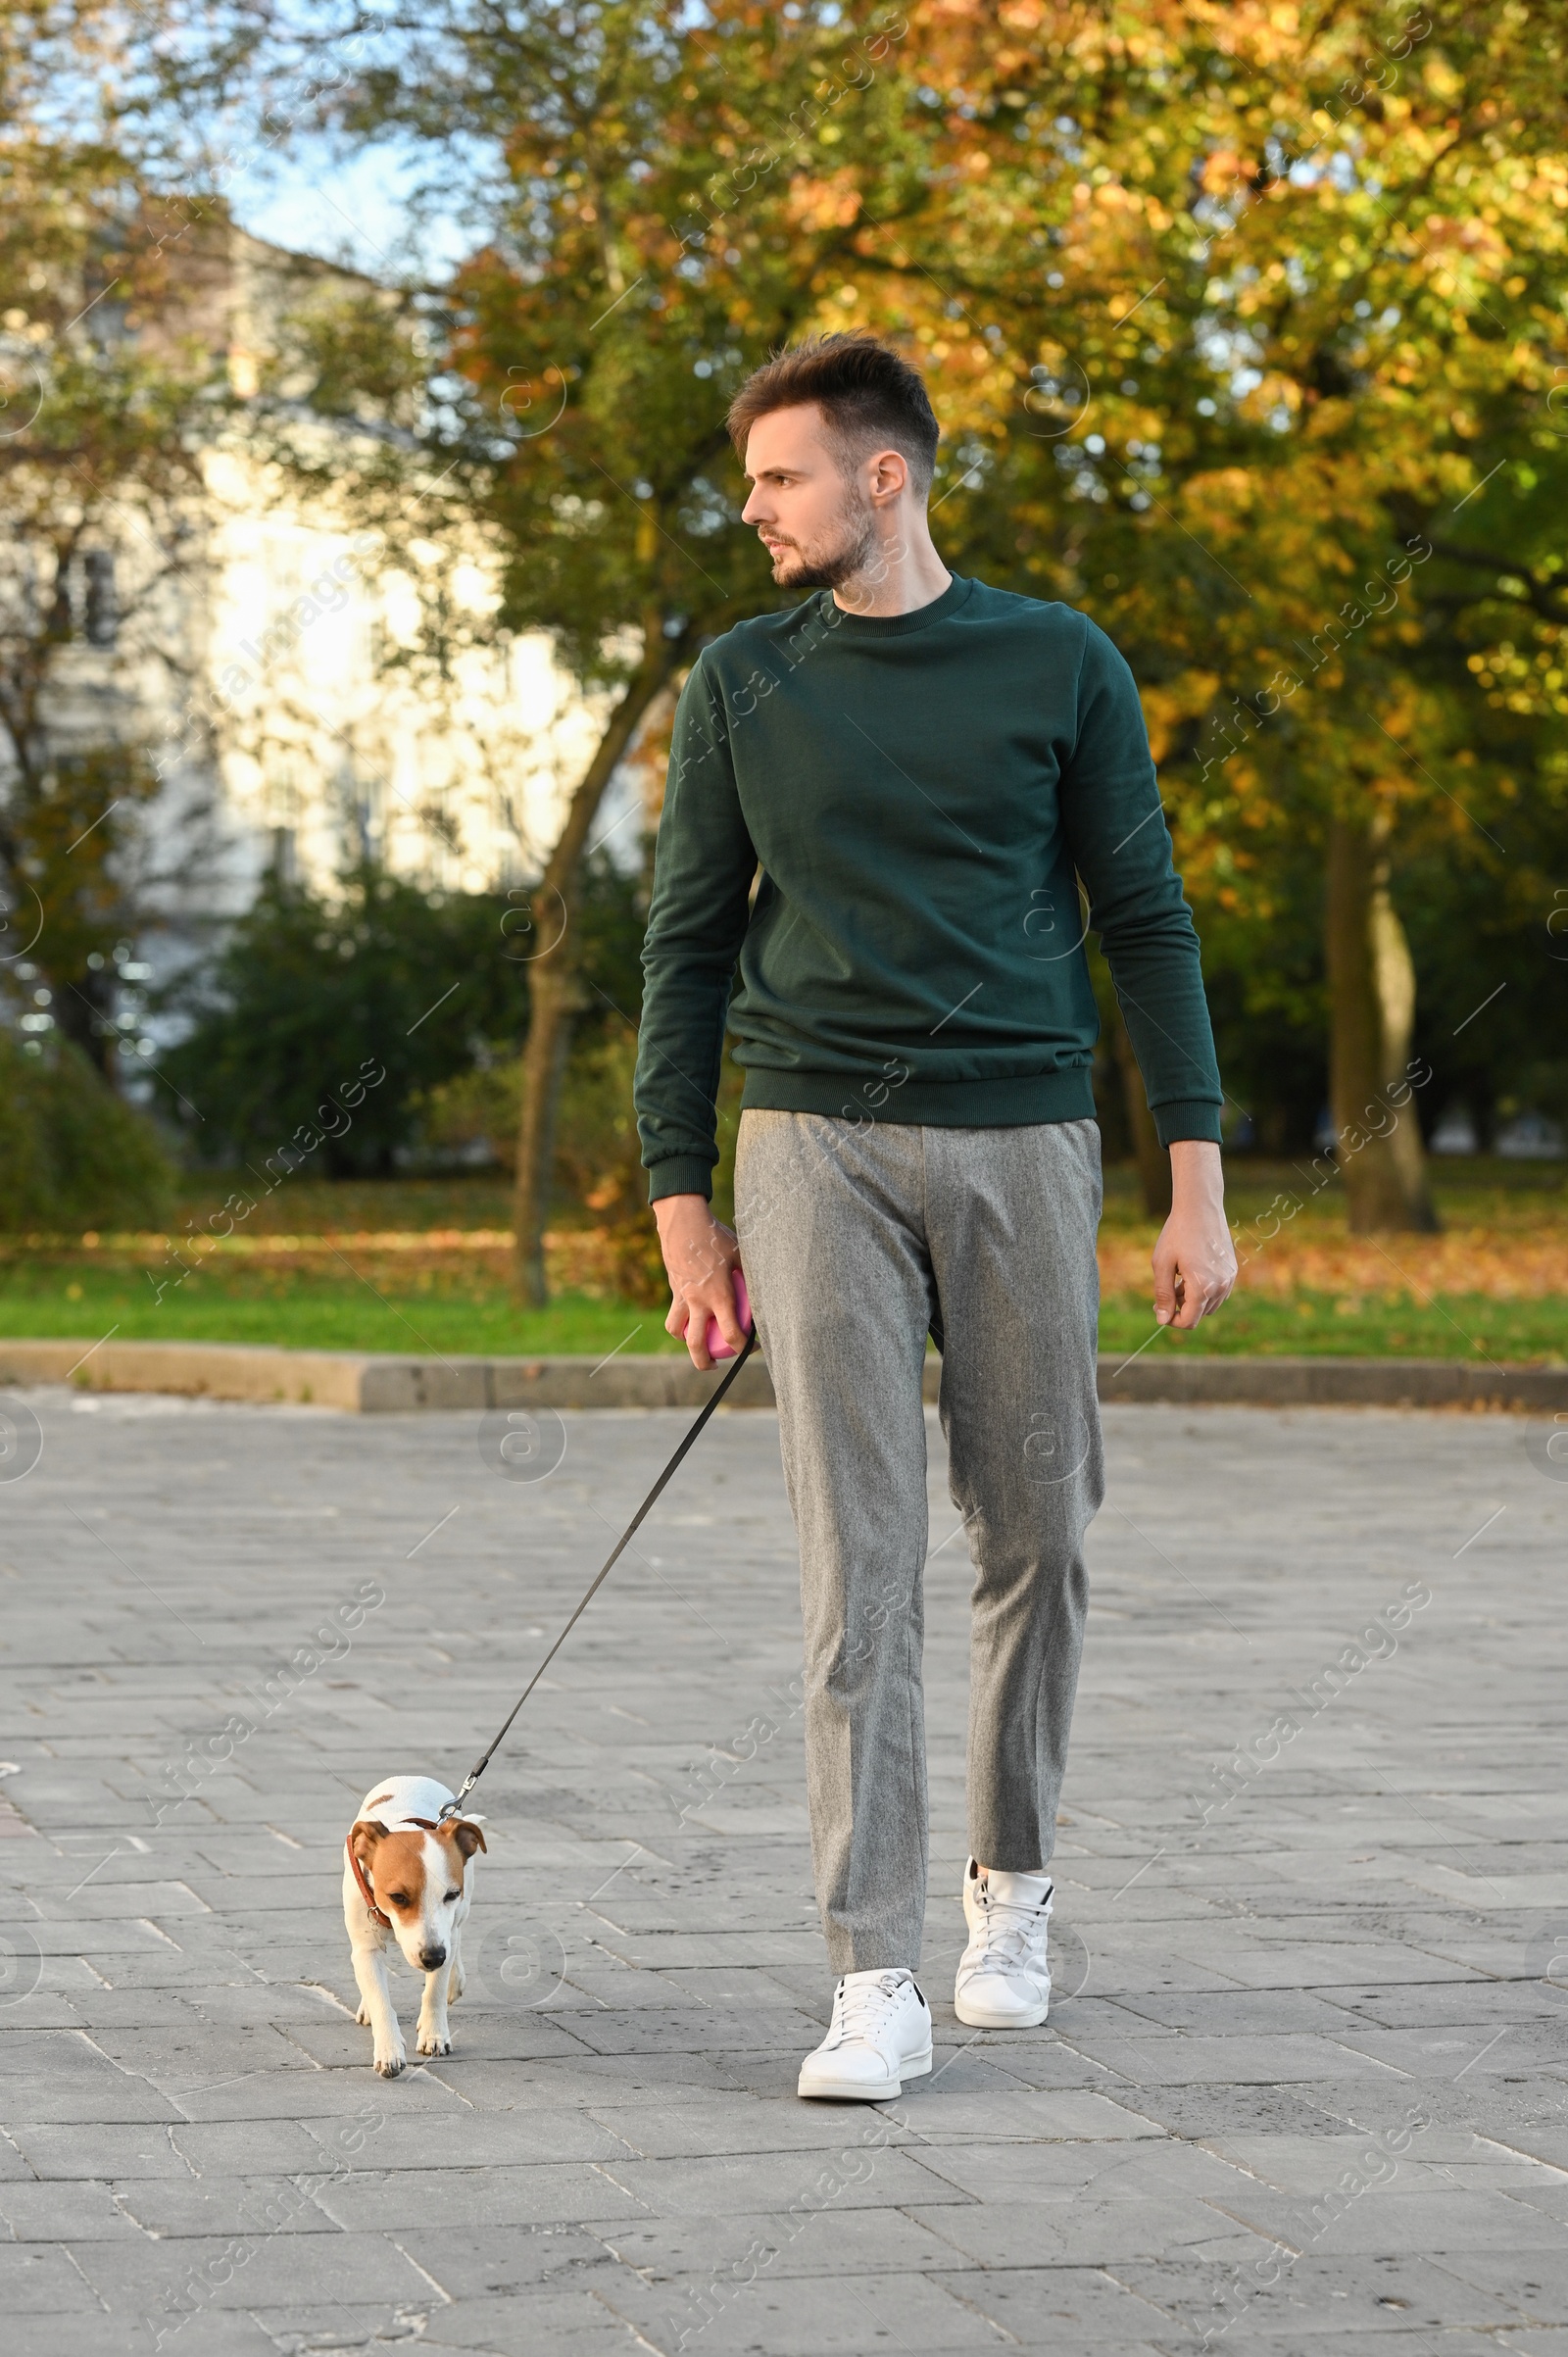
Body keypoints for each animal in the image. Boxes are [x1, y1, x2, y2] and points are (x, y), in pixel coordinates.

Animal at [341, 1772, 483, 2074]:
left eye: (451, 1894)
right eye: (398, 1897)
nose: (433, 1957)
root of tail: (412, 1777)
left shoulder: (445, 1932)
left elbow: (434, 1992)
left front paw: (434, 2035)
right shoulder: (365, 1946)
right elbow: (380, 1998)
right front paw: (389, 2050)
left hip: (461, 1914)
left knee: (457, 1936)